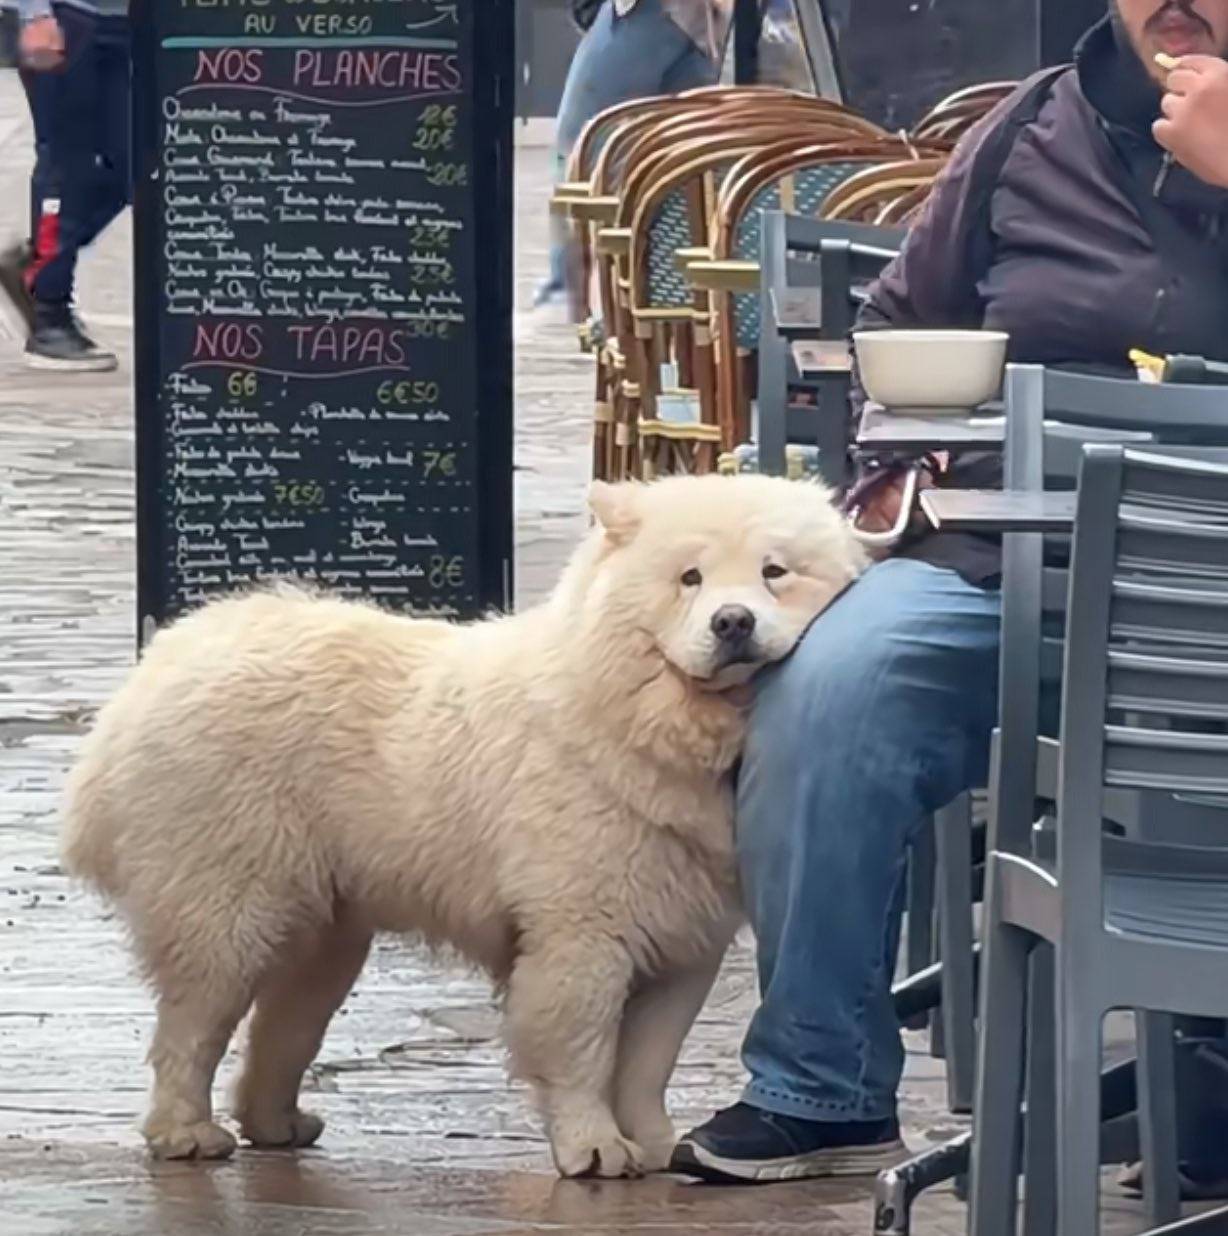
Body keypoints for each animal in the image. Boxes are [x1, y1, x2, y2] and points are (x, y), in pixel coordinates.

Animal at [59, 472, 859, 1176]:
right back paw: (186, 1135)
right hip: (229, 906)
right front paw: (595, 1150)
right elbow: (582, 1051)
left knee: (279, 1030)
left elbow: (647, 1063)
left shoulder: (683, 943)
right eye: (690, 578)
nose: (733, 623)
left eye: (775, 573)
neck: (648, 720)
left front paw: (660, 1144)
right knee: (192, 1029)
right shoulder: (582, 934)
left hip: (326, 934)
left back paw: (278, 1124)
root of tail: (160, 664)